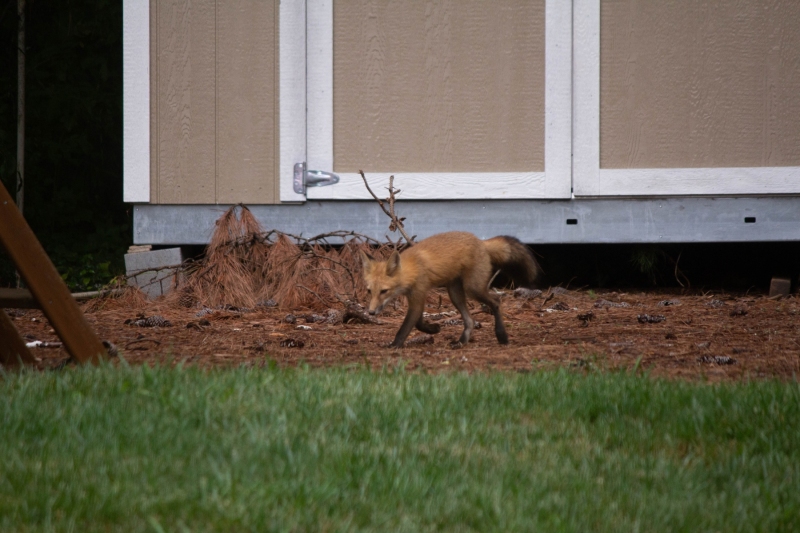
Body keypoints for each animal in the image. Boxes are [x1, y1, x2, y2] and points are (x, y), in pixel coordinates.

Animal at [360, 231, 540, 348]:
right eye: (369, 291)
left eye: (384, 291)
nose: (371, 313)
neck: (412, 269)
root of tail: (481, 242)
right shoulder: (417, 297)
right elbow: (418, 322)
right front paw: (433, 329)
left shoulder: (418, 294)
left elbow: (406, 327)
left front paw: (394, 345)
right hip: (454, 293)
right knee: (470, 320)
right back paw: (461, 342)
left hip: (472, 289)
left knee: (496, 301)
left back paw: (501, 335)